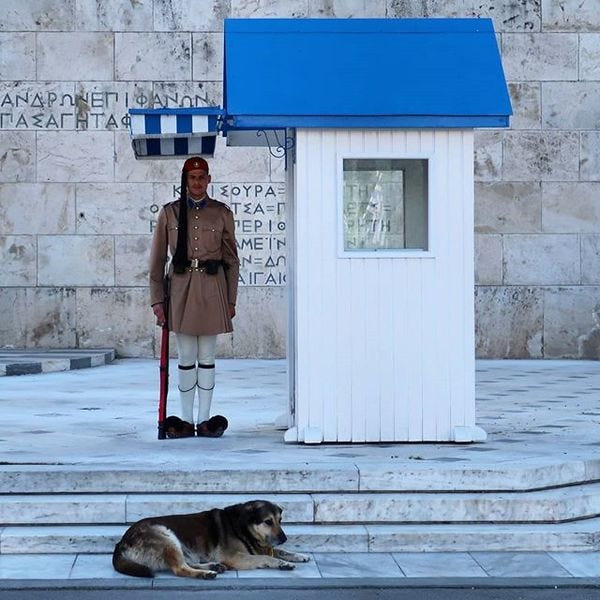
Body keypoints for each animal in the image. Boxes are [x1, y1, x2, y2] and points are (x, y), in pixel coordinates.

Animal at [112, 500, 310, 580]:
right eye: (268, 521)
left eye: (280, 520)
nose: (284, 538)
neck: (243, 527)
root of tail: (121, 543)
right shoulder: (236, 558)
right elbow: (266, 557)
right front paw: (282, 563)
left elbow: (279, 551)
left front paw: (298, 555)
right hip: (167, 536)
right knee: (179, 568)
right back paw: (206, 573)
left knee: (185, 563)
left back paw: (213, 566)